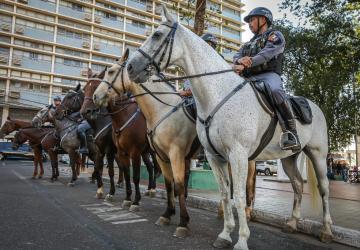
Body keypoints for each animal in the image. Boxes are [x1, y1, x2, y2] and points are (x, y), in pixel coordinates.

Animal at [82, 68, 161, 209]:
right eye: (85, 89)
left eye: (96, 87)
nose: (86, 111)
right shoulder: (105, 151)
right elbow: (106, 169)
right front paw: (104, 191)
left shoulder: (117, 151)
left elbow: (127, 174)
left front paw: (133, 200)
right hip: (145, 152)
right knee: (150, 167)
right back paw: (149, 189)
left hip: (153, 152)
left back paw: (153, 189)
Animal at [123, 5, 332, 250]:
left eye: (156, 35)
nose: (131, 67)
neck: (217, 94)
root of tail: (314, 106)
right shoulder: (215, 157)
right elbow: (224, 194)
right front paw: (225, 234)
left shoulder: (238, 155)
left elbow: (238, 196)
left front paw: (241, 239)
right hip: (289, 157)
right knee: (298, 185)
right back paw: (291, 223)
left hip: (318, 154)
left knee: (324, 188)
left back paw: (326, 230)